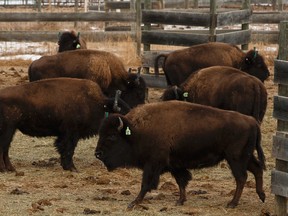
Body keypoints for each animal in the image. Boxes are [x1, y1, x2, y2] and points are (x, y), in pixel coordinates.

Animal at [0, 77, 130, 172]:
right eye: (122, 113)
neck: (99, 104)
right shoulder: (71, 133)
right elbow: (68, 149)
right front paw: (72, 168)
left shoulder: (65, 134)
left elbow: (64, 149)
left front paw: (66, 166)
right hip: (8, 129)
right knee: (3, 148)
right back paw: (5, 169)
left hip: (11, 130)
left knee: (5, 148)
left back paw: (11, 168)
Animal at [95, 101, 266, 209]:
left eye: (111, 136)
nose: (97, 153)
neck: (136, 131)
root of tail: (252, 121)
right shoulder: (174, 165)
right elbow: (181, 181)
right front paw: (180, 201)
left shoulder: (152, 164)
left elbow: (146, 184)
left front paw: (133, 203)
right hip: (245, 157)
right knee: (257, 170)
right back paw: (261, 196)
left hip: (235, 158)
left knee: (241, 178)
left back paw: (232, 203)